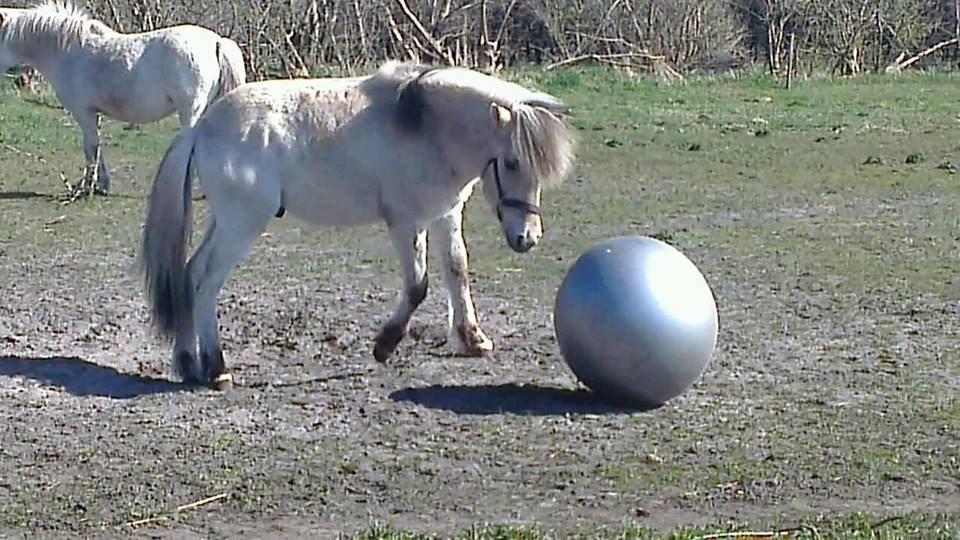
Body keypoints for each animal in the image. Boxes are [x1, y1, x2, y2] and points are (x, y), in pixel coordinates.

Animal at [0, 0, 248, 194]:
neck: (69, 51)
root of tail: (216, 41)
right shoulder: (93, 114)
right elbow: (97, 146)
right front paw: (101, 185)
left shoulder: (83, 113)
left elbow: (90, 148)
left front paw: (86, 186)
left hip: (191, 112)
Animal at [139, 61, 572, 386]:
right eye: (512, 162)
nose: (527, 238)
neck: (425, 126)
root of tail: (201, 128)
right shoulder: (406, 222)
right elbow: (417, 287)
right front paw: (385, 345)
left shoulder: (445, 215)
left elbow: (457, 271)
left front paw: (472, 339)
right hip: (240, 226)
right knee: (205, 282)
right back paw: (216, 368)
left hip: (225, 223)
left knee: (188, 273)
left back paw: (188, 362)